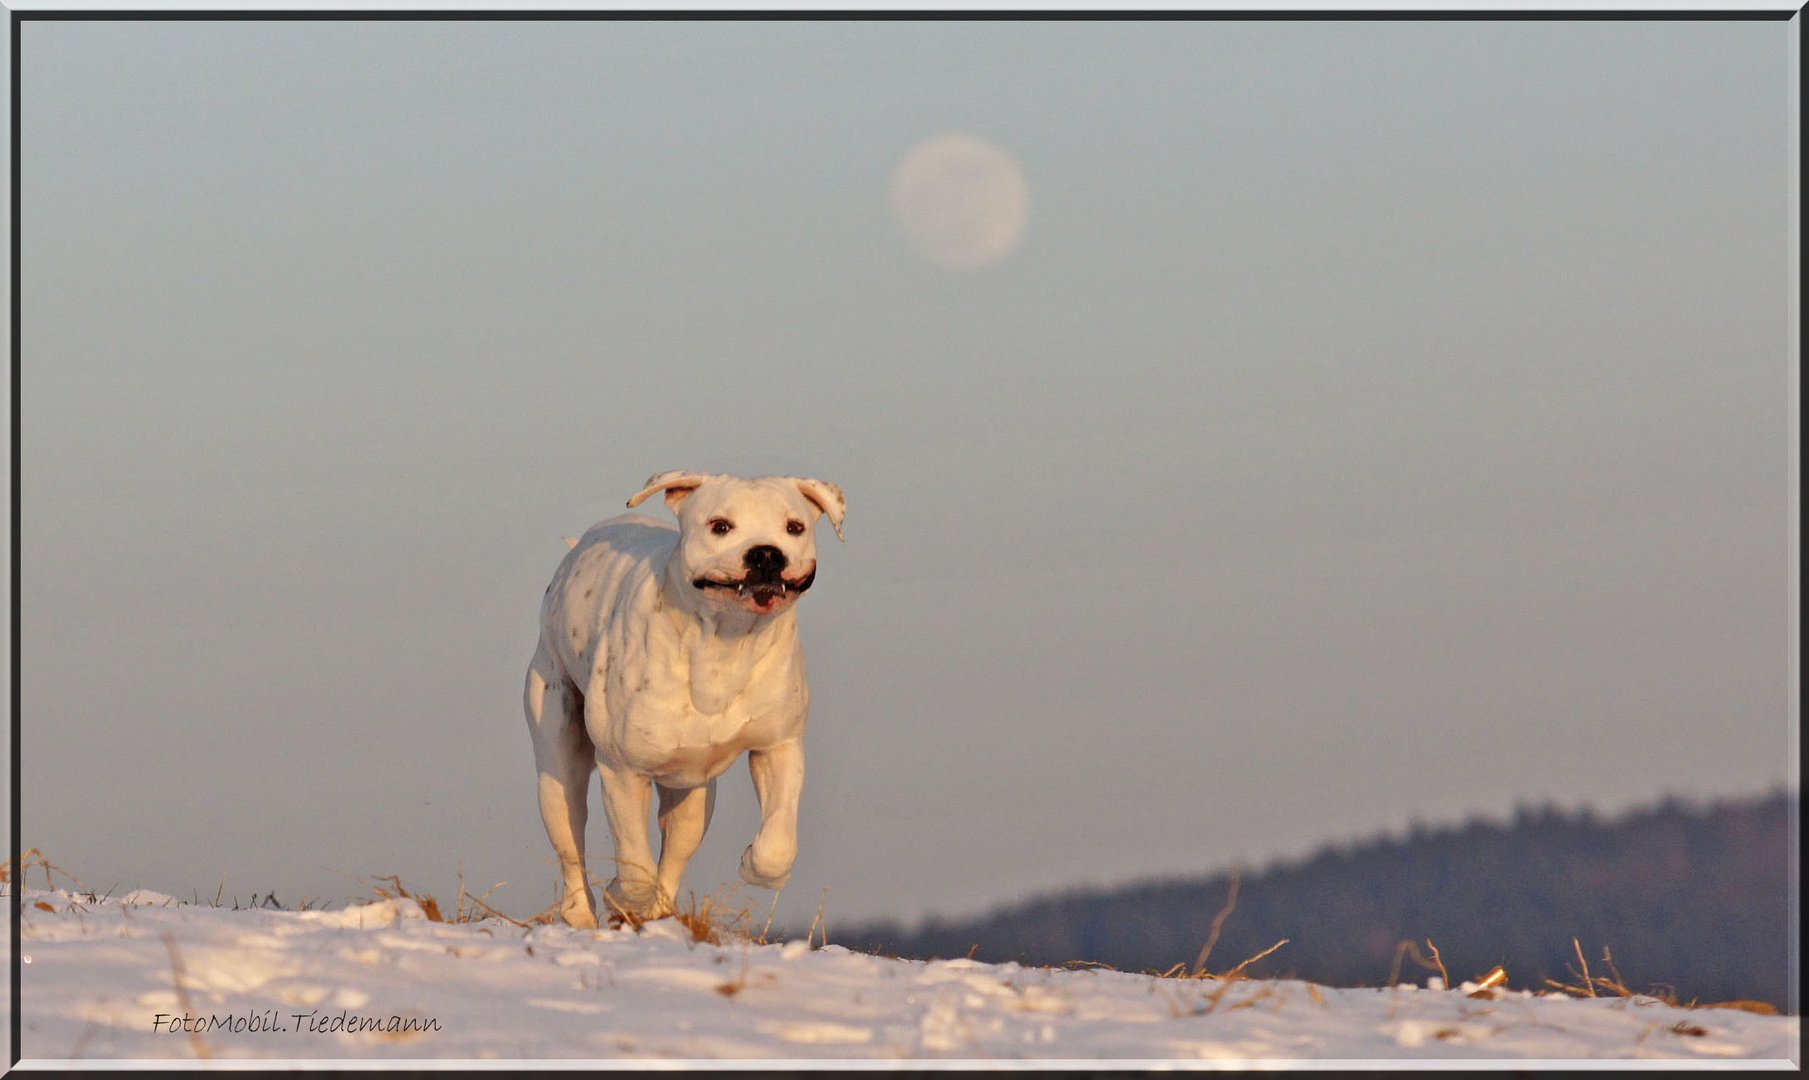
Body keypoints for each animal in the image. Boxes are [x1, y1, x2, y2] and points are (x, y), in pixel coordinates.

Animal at [517, 470, 839, 926]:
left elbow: (777, 843)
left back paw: (660, 914)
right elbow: (635, 866)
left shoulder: (779, 745)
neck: (726, 640)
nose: (766, 554)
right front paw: (622, 896)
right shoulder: (622, 769)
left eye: (794, 527)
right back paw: (582, 913)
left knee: (675, 852)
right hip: (558, 764)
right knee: (571, 839)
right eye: (720, 525)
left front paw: (753, 863)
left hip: (694, 797)